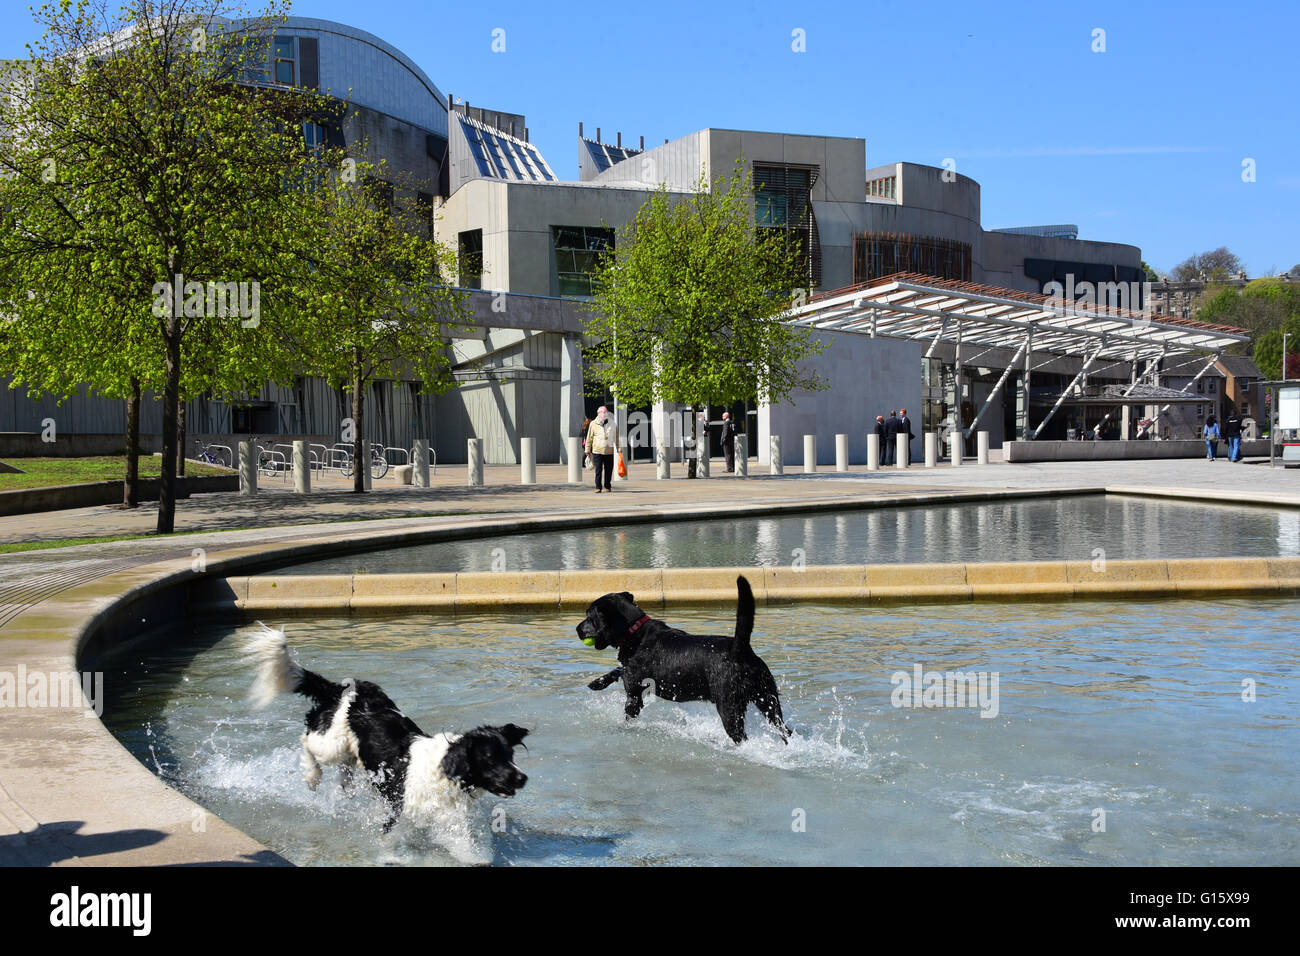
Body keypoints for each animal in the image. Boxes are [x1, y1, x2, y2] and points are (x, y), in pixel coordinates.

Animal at [244, 624, 527, 863]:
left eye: (511, 755)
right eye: (490, 758)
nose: (522, 778)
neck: (446, 771)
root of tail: (348, 689)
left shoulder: (451, 823)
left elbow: (469, 851)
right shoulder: (397, 812)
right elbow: (388, 841)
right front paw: (390, 858)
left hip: (349, 751)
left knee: (344, 768)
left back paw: (345, 788)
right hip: (331, 744)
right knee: (306, 740)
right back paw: (312, 776)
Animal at [582, 574, 790, 749]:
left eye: (589, 617)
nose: (577, 629)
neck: (635, 631)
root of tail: (740, 649)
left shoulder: (634, 695)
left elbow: (627, 710)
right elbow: (618, 669)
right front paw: (597, 682)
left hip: (729, 706)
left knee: (742, 736)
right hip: (768, 700)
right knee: (784, 729)